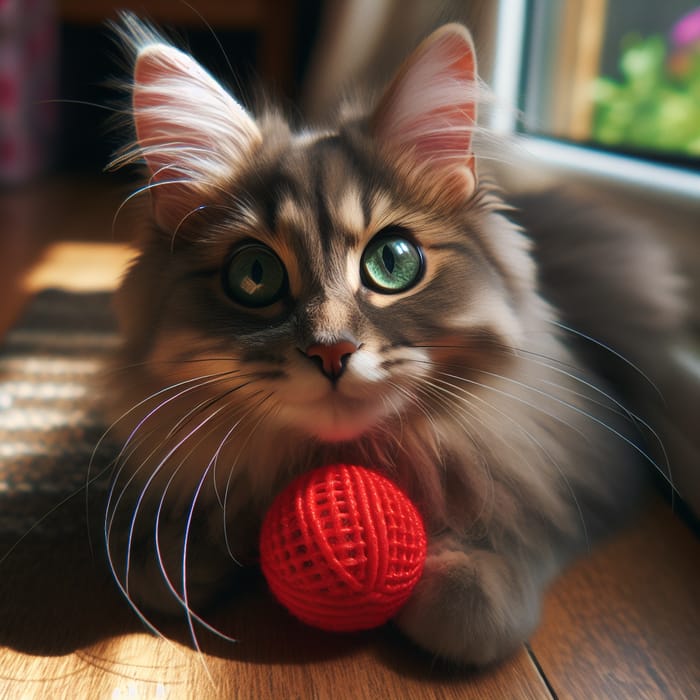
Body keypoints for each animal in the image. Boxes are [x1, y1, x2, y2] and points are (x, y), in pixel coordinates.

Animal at [105, 13, 684, 664]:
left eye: (394, 261)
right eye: (253, 276)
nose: (331, 351)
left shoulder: (589, 467)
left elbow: (504, 563)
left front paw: (462, 588)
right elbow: (167, 552)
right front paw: (184, 547)